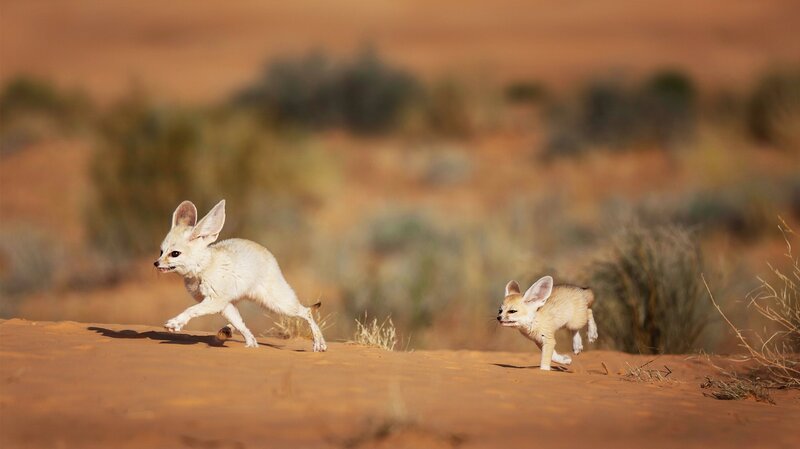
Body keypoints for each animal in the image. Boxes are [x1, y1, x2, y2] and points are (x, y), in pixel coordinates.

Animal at [153, 199, 327, 352]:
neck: (204, 268)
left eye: (175, 254)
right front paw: (252, 344)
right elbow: (241, 325)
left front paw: (175, 323)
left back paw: (319, 344)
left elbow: (191, 310)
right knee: (239, 322)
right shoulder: (223, 304)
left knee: (306, 312)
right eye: (161, 252)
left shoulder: (216, 301)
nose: (156, 263)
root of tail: (266, 251)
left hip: (278, 303)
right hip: (241, 302)